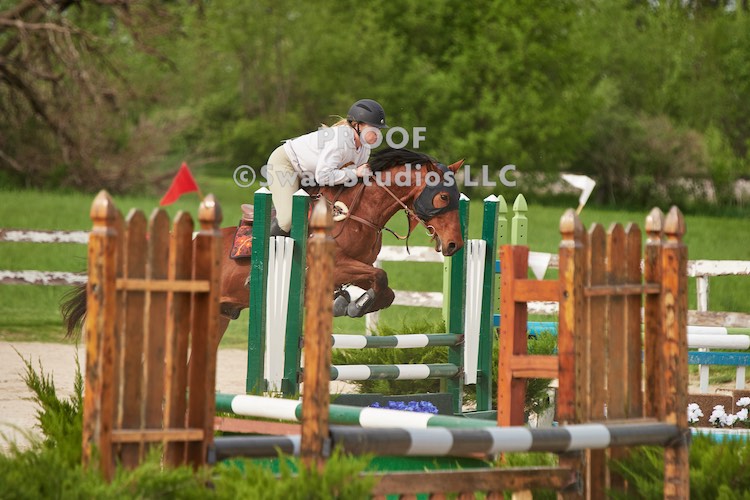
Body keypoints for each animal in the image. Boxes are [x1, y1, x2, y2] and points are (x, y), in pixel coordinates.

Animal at [62, 148, 465, 344]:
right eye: (443, 196)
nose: (453, 245)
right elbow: (381, 279)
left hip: (219, 315)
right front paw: (355, 306)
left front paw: (351, 303)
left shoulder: (352, 269)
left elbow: (383, 286)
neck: (356, 213)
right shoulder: (335, 265)